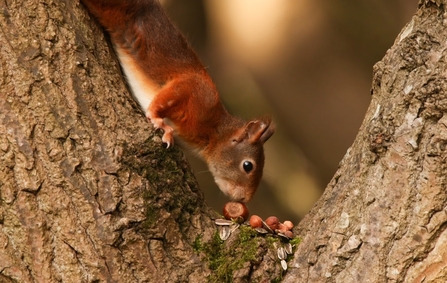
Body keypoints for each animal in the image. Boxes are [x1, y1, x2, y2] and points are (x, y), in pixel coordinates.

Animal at [82, 0, 274, 204]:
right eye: (248, 166)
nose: (244, 199)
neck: (214, 130)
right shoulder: (196, 91)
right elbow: (168, 96)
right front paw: (158, 120)